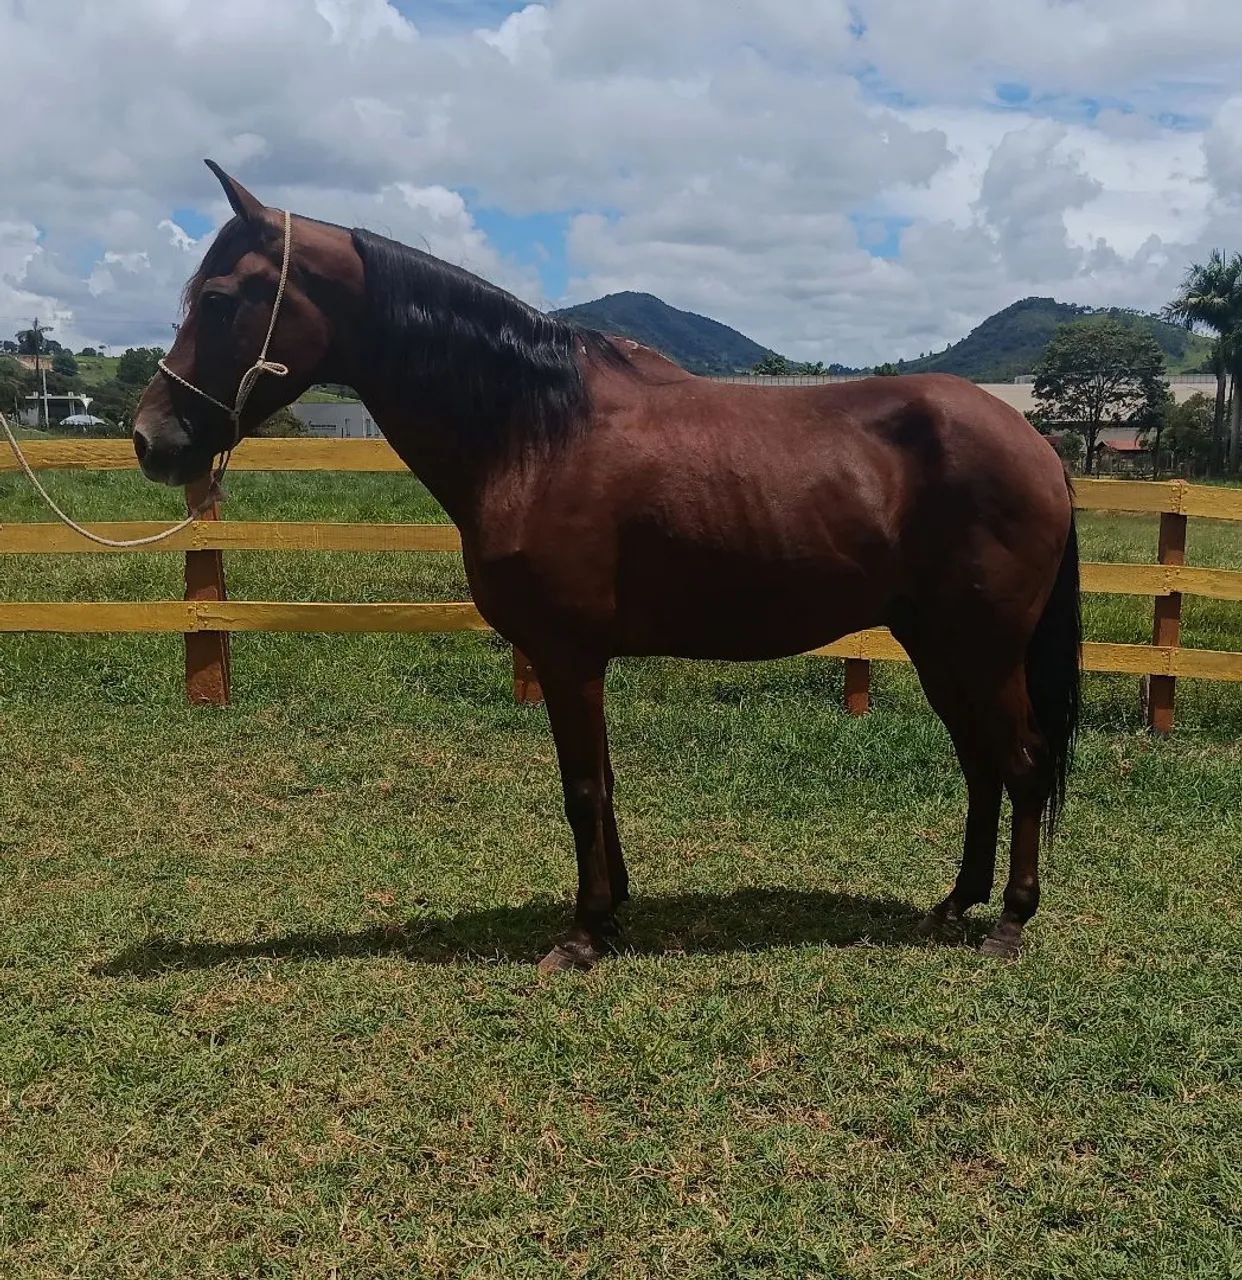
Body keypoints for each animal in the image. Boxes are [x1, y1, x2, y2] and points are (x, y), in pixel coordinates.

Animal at [134, 162, 1080, 972]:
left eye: (219, 298)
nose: (152, 439)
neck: (535, 432)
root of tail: (1035, 443)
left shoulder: (567, 655)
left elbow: (583, 788)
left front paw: (584, 935)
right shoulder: (576, 660)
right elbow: (606, 784)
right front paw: (614, 910)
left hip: (984, 648)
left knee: (1024, 760)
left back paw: (1009, 922)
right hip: (940, 647)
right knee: (982, 764)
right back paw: (955, 903)